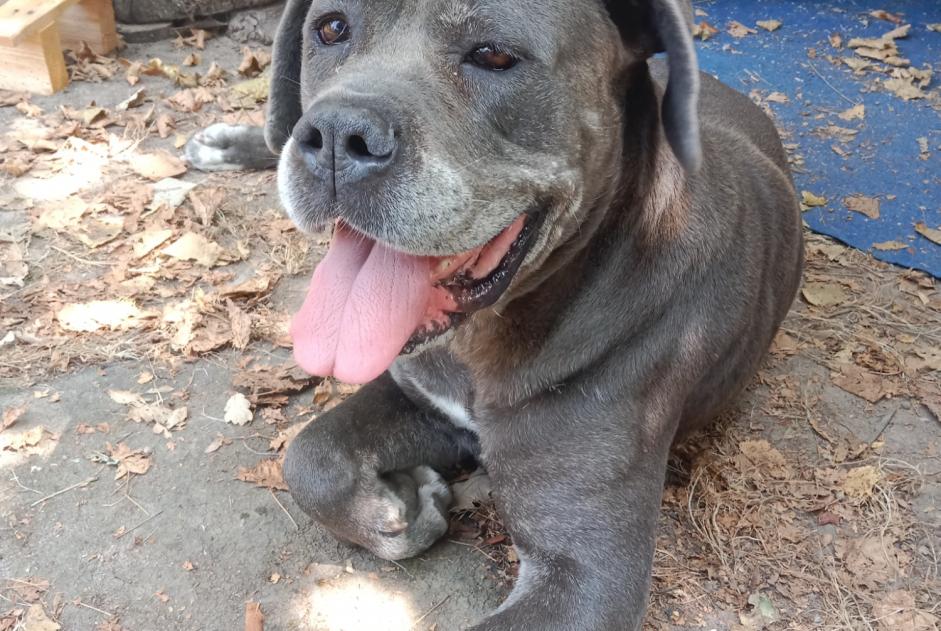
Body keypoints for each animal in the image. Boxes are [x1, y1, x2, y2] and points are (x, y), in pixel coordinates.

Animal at [185, 0, 800, 628]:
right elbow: (310, 458)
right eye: (331, 28)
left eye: (495, 56)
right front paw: (401, 510)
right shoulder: (421, 397)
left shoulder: (587, 580)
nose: (336, 133)